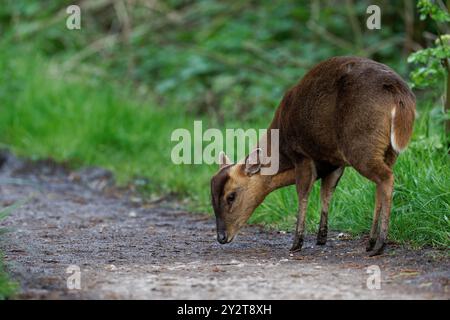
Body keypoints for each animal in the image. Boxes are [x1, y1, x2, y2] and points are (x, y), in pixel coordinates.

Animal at [211, 57, 414, 258]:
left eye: (231, 196)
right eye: (211, 197)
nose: (221, 237)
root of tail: (398, 93)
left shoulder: (302, 155)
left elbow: (303, 193)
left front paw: (296, 243)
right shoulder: (334, 162)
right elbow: (326, 193)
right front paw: (321, 237)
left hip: (360, 144)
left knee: (386, 178)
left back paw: (380, 244)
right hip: (388, 151)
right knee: (380, 183)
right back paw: (371, 242)